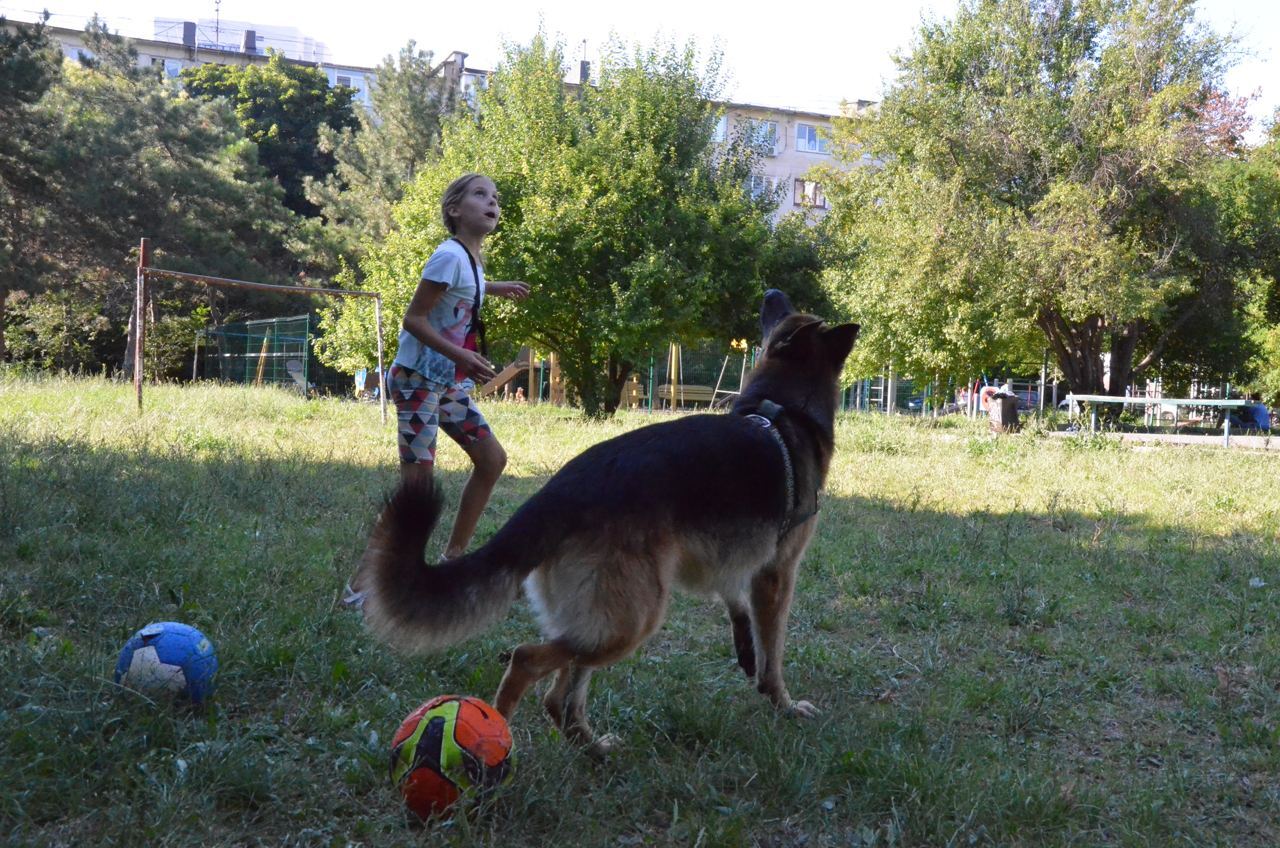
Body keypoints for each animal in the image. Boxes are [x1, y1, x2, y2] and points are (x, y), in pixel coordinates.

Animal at [363, 294, 860, 758]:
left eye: (780, 315)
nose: (772, 293)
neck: (782, 407)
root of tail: (559, 492)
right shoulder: (777, 575)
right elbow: (774, 651)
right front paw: (783, 703)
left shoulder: (727, 566)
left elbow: (738, 610)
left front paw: (744, 647)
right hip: (633, 620)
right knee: (528, 662)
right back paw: (498, 744)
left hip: (599, 618)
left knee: (559, 696)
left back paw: (591, 747)